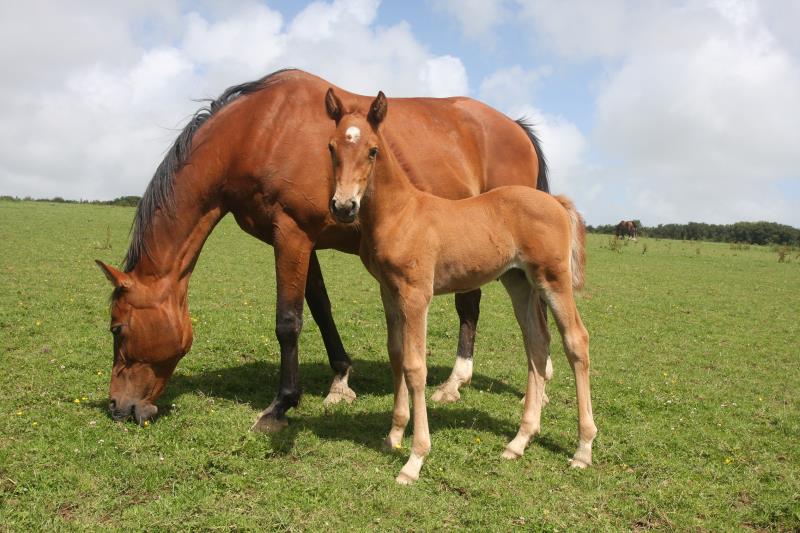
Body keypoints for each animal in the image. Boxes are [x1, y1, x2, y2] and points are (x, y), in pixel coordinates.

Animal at [92, 68, 544, 430]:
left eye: (117, 329)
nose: (118, 406)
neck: (260, 130)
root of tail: (515, 127)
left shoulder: (291, 234)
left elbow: (288, 321)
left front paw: (280, 406)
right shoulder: (301, 239)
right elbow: (321, 307)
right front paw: (340, 381)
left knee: (480, 308)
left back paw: (460, 385)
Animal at [324, 90, 592, 482]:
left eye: (372, 150)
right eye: (331, 147)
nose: (344, 207)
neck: (401, 212)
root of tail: (555, 201)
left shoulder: (417, 295)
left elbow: (415, 366)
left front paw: (415, 459)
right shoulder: (389, 292)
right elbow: (396, 355)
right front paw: (394, 436)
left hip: (553, 279)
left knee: (576, 341)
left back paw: (583, 448)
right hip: (519, 281)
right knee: (537, 344)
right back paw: (519, 441)